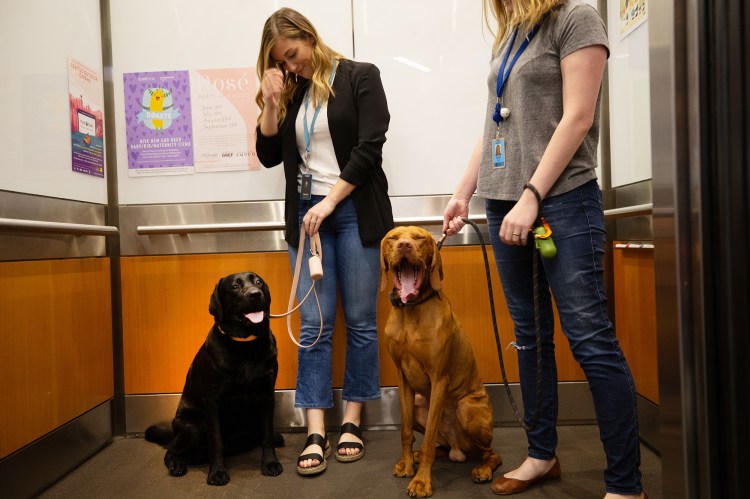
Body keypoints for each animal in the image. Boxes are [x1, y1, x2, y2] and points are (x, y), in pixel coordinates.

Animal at [382, 228, 500, 499]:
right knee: (441, 446)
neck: (411, 310)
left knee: (491, 453)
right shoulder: (402, 379)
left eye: (418, 238)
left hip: (467, 409)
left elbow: (428, 442)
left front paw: (421, 482)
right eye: (393, 238)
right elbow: (405, 431)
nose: (404, 246)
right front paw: (406, 464)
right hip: (419, 404)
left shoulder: (439, 379)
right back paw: (416, 457)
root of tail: (458, 449)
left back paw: (483, 470)